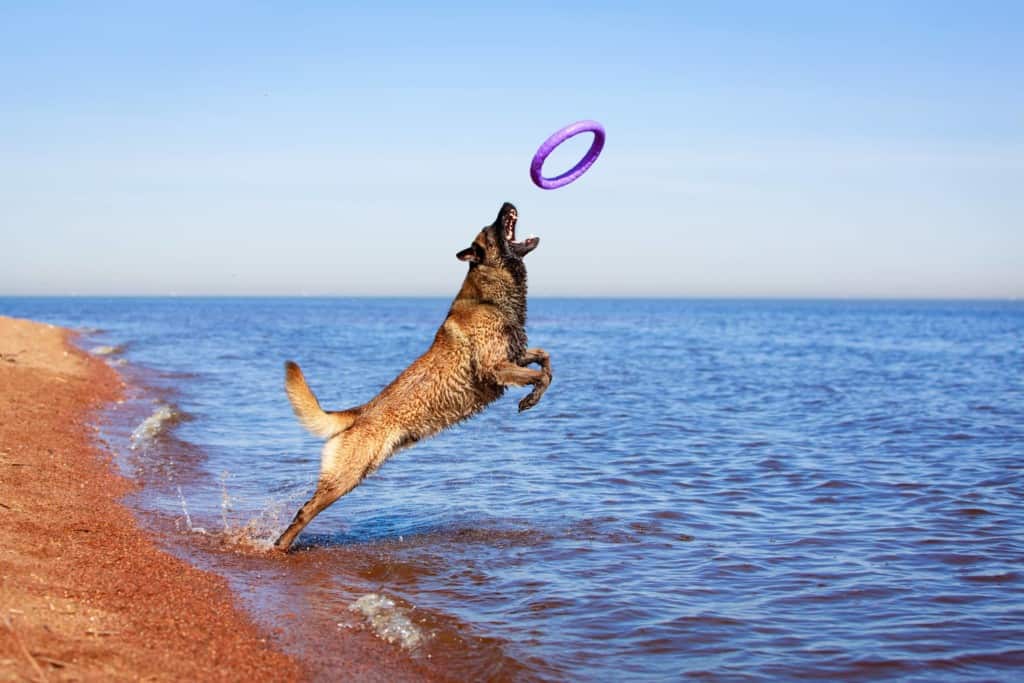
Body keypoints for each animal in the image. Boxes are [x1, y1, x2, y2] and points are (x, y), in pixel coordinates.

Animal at [274, 201, 552, 548]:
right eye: (491, 227)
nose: (506, 204)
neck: (490, 295)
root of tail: (359, 413)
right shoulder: (494, 367)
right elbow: (540, 376)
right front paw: (530, 399)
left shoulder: (514, 355)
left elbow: (546, 360)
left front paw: (536, 391)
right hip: (345, 477)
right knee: (303, 513)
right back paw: (281, 546)